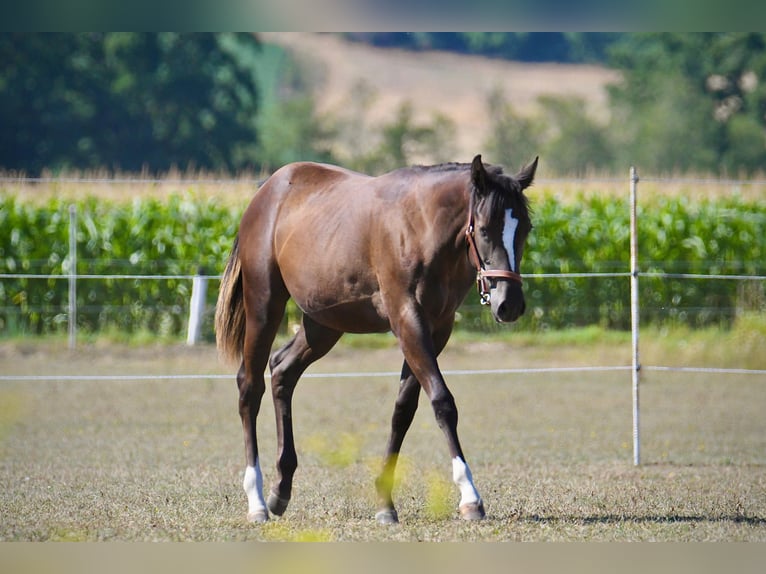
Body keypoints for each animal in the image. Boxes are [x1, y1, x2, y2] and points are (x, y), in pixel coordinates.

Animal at [215, 154, 537, 524]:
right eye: (484, 229)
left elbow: (404, 409)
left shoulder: (436, 329)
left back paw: (281, 490)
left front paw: (385, 502)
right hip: (264, 307)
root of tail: (266, 192)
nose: (509, 303)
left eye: (525, 229)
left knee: (283, 370)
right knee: (250, 387)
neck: (421, 227)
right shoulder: (406, 319)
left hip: (323, 324)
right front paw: (470, 496)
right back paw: (256, 500)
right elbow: (442, 402)